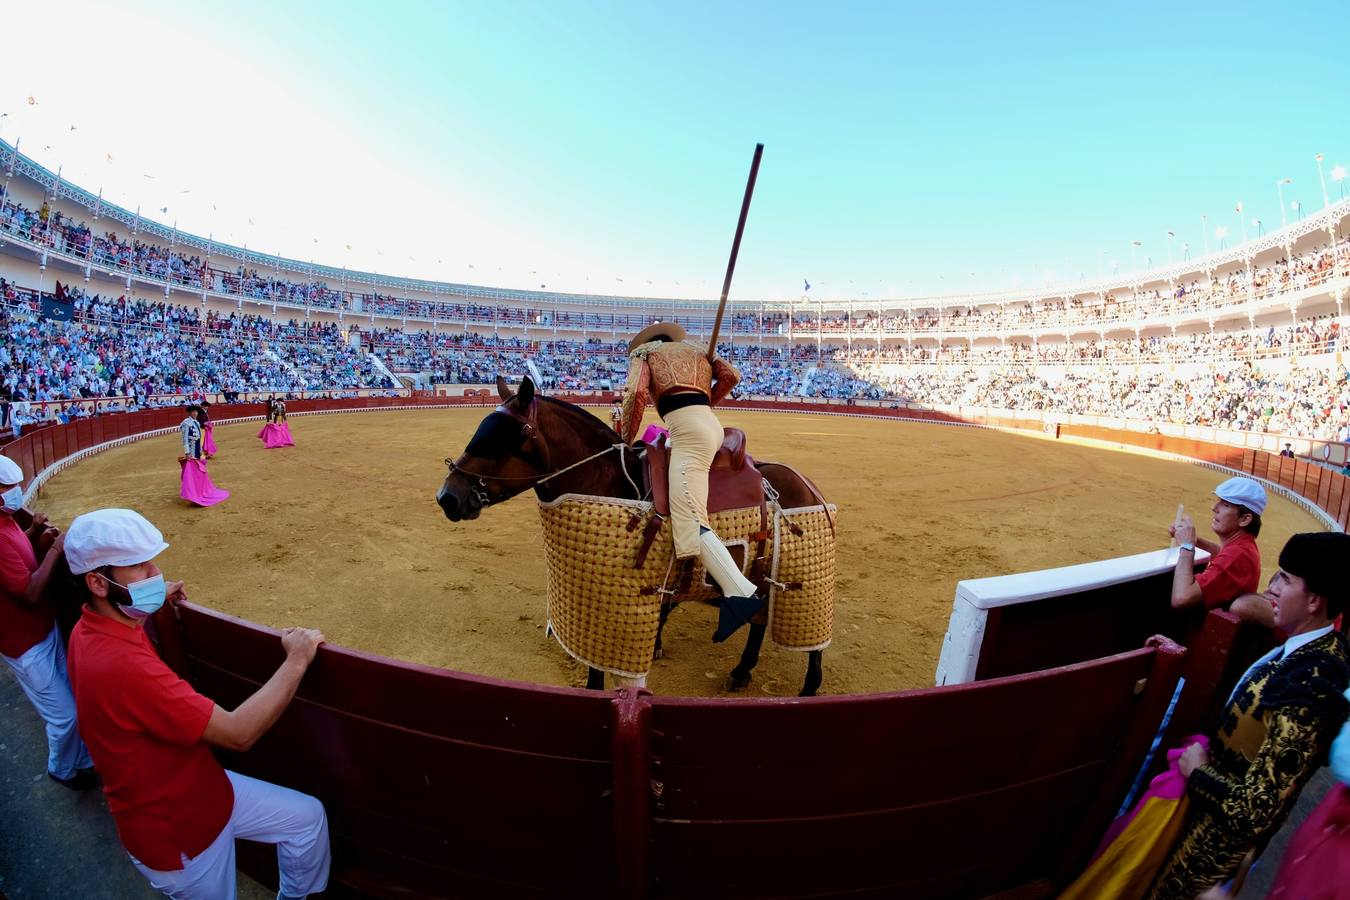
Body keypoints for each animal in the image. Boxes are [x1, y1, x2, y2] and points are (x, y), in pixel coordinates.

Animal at [437, 372, 826, 696]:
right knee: (759, 618)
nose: (448, 497)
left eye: (505, 436)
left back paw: (808, 688)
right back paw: (741, 671)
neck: (610, 485)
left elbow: (600, 666)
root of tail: (806, 484)